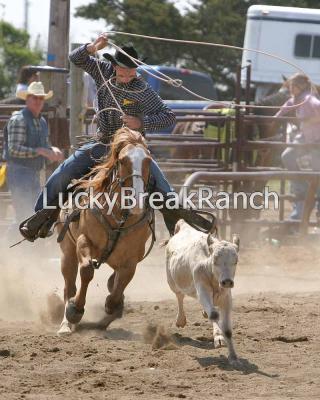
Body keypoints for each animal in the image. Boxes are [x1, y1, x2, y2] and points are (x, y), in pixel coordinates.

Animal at [57, 128, 154, 334]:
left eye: (148, 161)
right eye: (123, 160)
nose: (137, 201)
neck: (120, 217)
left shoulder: (131, 259)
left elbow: (120, 285)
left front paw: (112, 304)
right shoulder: (83, 240)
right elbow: (87, 271)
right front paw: (75, 310)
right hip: (67, 251)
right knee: (69, 286)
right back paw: (66, 324)